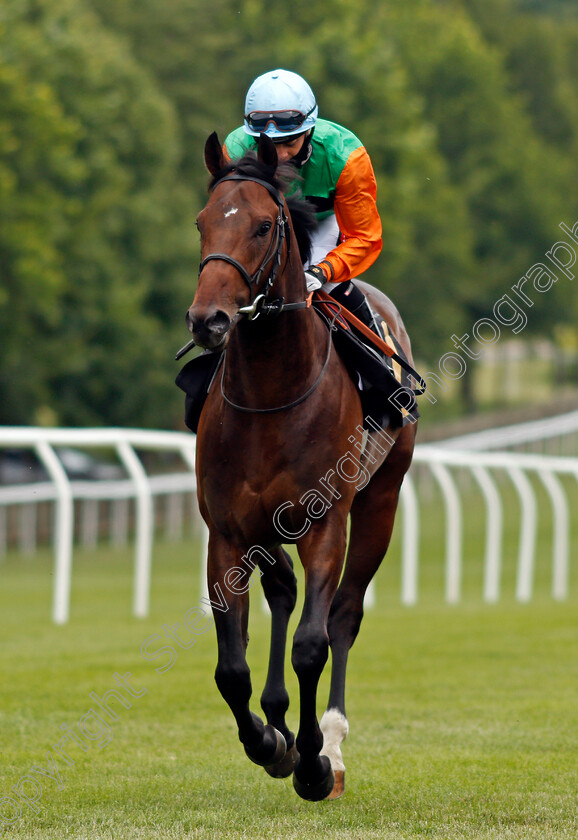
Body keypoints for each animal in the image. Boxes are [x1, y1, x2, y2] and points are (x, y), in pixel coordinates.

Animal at [184, 131, 414, 800]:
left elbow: (313, 643)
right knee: (282, 592)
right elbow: (230, 668)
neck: (270, 393)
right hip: (267, 530)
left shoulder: (324, 523)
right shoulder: (228, 533)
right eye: (203, 222)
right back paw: (280, 721)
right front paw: (269, 742)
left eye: (264, 226)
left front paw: (311, 763)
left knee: (343, 615)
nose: (208, 320)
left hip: (380, 502)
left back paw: (330, 744)